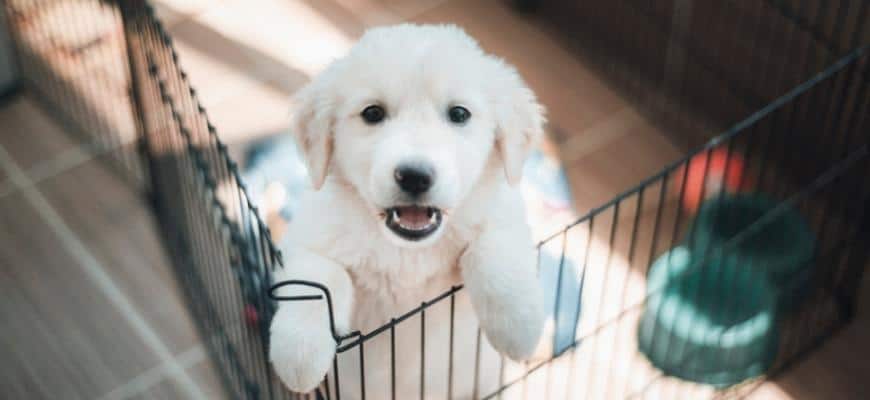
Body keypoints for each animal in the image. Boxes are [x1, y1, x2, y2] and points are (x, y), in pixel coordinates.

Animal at [270, 23, 548, 398]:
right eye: (372, 113)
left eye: (459, 114)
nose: (415, 176)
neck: (407, 251)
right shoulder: (306, 237)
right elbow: (317, 278)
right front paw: (300, 354)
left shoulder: (503, 211)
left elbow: (495, 249)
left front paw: (519, 324)